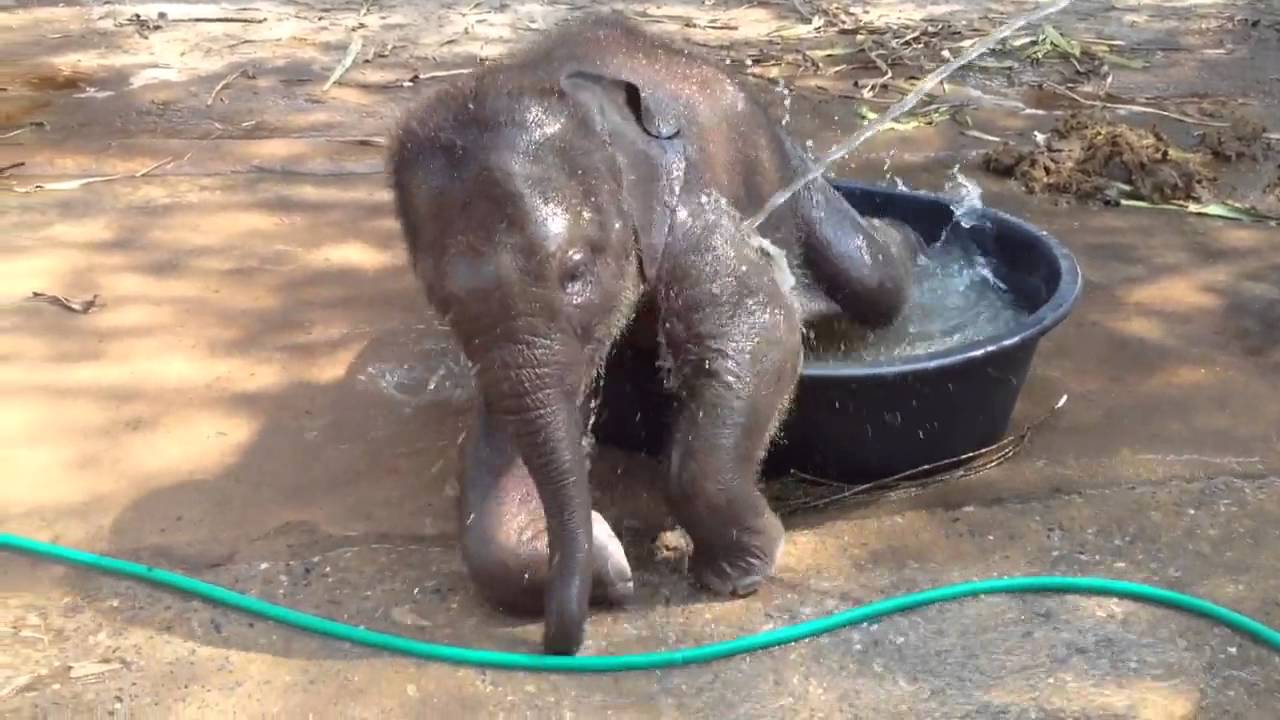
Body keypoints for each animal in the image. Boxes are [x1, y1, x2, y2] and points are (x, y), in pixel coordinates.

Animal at [389, 14, 921, 653]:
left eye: (575, 271)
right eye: (443, 301)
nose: (561, 640)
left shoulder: (684, 198)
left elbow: (755, 326)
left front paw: (738, 576)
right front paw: (608, 568)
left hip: (791, 167)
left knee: (872, 276)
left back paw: (903, 238)